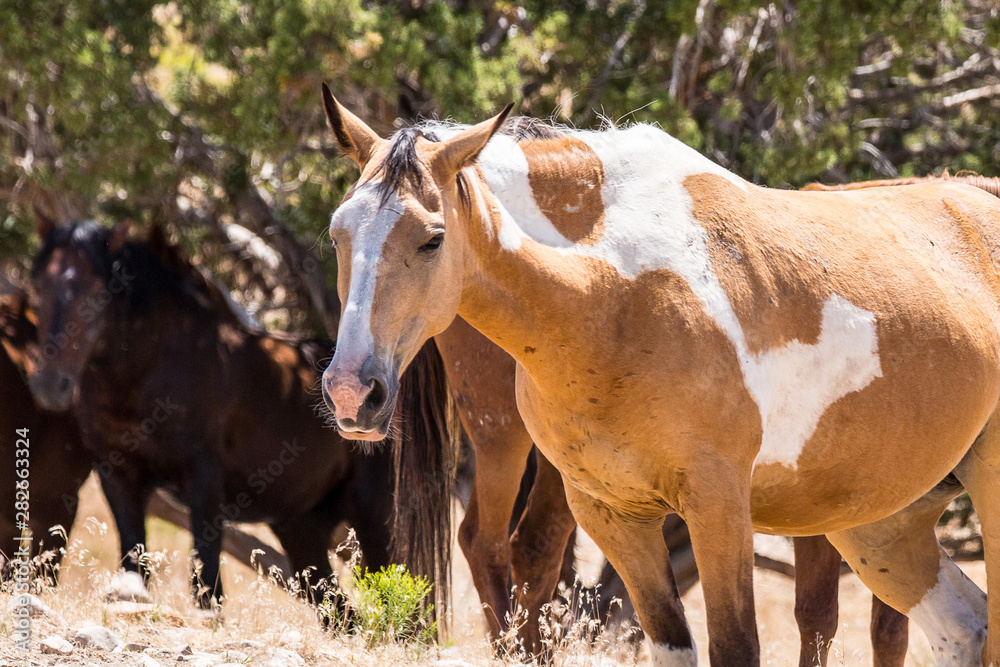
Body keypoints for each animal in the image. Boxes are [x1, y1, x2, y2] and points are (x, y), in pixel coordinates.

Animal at [28, 222, 454, 612]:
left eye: (99, 293)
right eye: (37, 289)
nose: (50, 384)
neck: (145, 375)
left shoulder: (204, 481)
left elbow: (207, 582)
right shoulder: (116, 475)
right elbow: (136, 558)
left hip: (375, 519)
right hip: (302, 528)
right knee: (339, 611)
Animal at [318, 86, 1000, 664]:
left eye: (432, 238)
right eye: (336, 235)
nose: (353, 392)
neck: (613, 292)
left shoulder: (718, 506)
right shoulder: (615, 514)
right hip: (878, 521)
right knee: (964, 625)